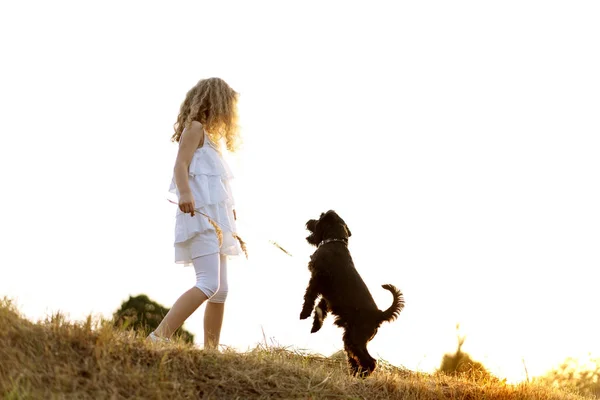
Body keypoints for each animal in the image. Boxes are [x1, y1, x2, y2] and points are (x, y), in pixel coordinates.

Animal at [298, 211, 406, 376]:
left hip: (356, 337)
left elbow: (309, 296)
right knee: (355, 357)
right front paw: (316, 325)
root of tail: (380, 314)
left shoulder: (317, 277)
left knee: (370, 361)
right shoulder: (328, 294)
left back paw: (361, 376)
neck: (335, 242)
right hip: (351, 337)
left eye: (319, 217)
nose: (309, 221)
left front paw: (304, 314)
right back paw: (355, 373)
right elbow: (321, 307)